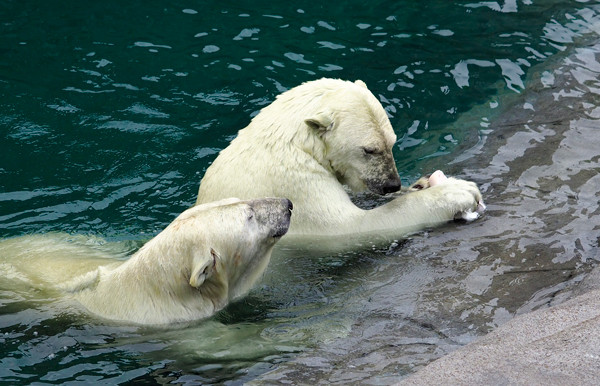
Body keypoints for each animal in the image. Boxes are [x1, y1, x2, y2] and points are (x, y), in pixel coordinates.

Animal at [197, 78, 482, 240]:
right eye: (369, 149)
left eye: (392, 142)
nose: (391, 185)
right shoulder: (295, 184)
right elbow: (354, 226)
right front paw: (460, 191)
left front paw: (421, 184)